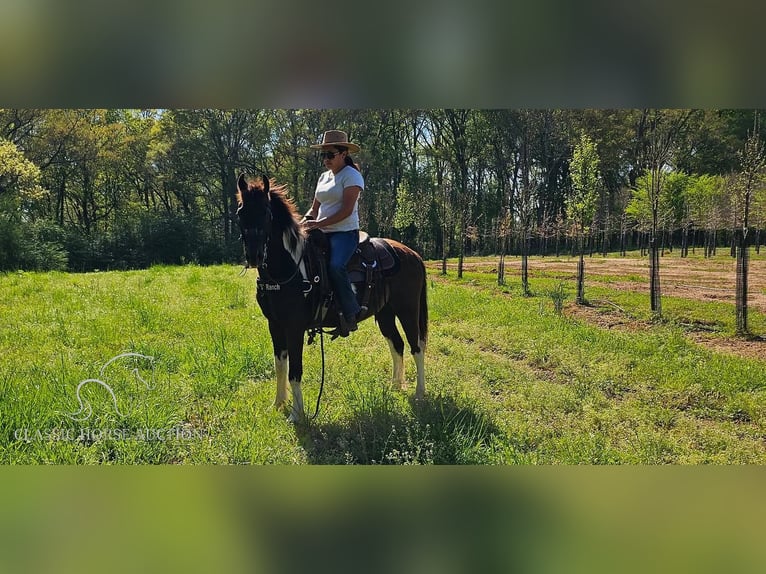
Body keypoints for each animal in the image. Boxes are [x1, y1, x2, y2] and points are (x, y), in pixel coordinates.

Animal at [237, 172, 428, 424]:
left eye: (267, 213)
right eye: (240, 212)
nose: (254, 256)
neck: (291, 268)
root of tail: (412, 255)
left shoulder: (294, 328)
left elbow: (294, 371)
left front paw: (296, 415)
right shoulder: (275, 325)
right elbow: (280, 365)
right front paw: (278, 404)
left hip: (407, 311)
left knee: (417, 347)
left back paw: (419, 393)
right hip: (385, 314)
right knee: (397, 344)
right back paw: (395, 387)